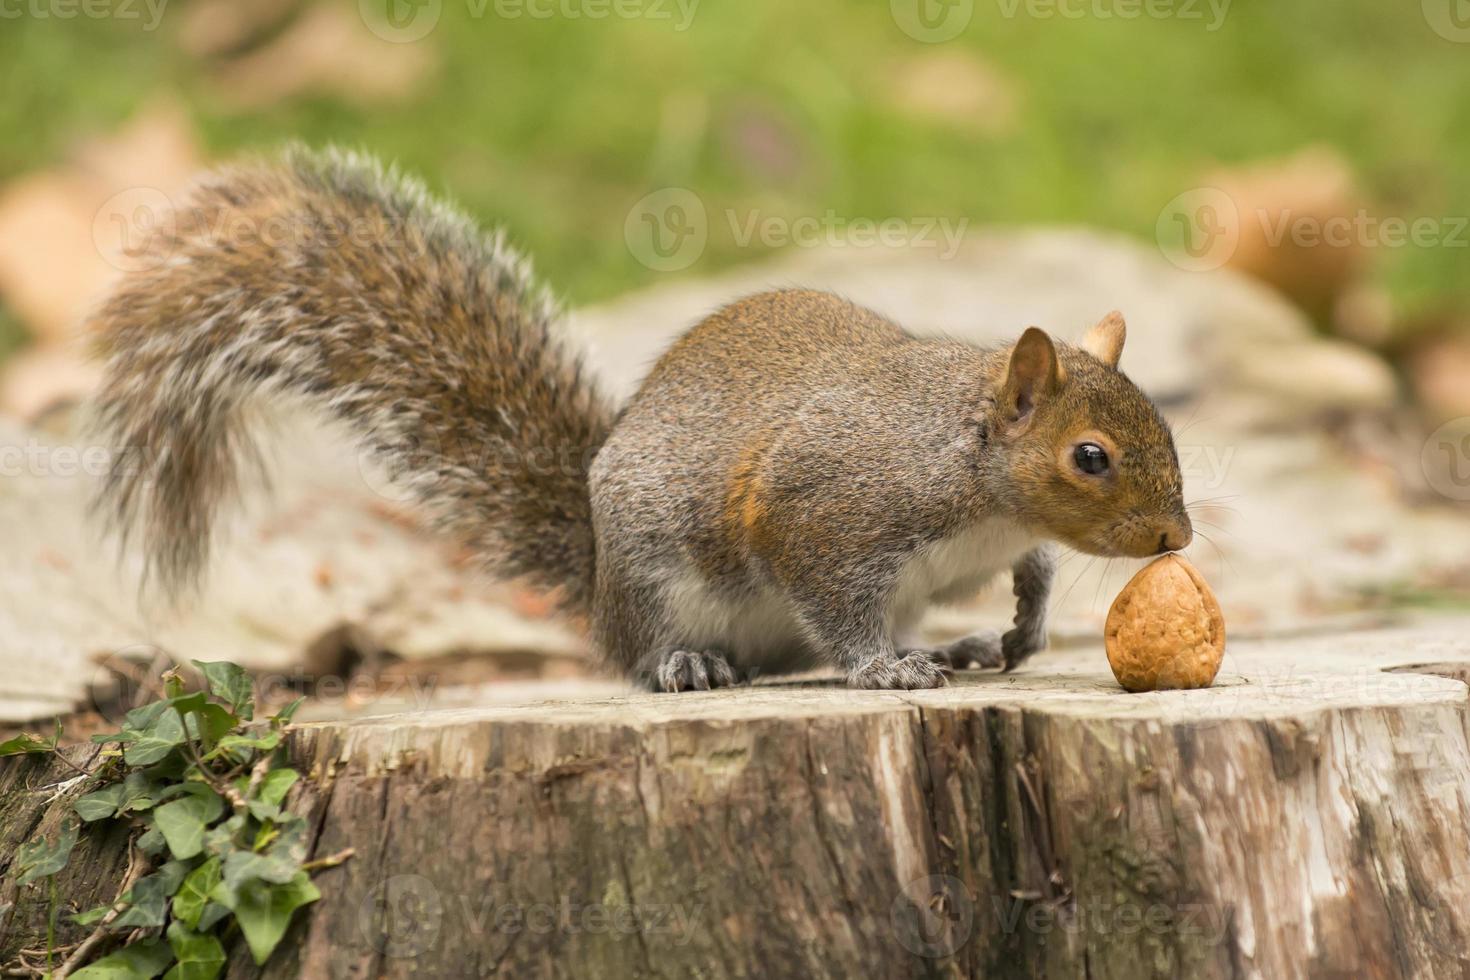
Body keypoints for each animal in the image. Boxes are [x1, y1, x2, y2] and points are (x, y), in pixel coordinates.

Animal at [88, 149, 1193, 693]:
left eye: (1167, 436)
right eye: (1090, 457)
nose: (1177, 539)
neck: (976, 479)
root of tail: (595, 582)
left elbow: (1036, 568)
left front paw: (1023, 625)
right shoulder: (827, 509)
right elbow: (830, 596)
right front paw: (880, 666)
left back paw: (954, 648)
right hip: (655, 573)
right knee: (650, 651)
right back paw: (688, 662)